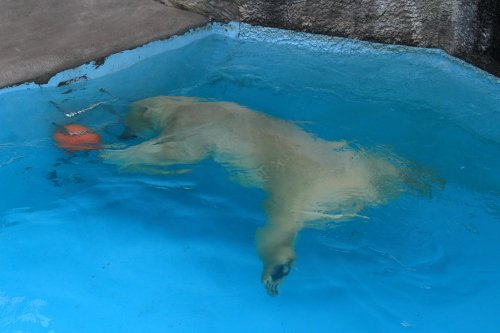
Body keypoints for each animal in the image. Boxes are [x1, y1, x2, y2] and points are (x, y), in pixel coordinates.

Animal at [101, 96, 438, 296]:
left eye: (127, 121)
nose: (121, 134)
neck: (185, 104)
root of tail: (356, 191)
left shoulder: (194, 125)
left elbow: (181, 154)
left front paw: (115, 156)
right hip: (360, 161)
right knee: (387, 164)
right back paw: (422, 177)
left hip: (296, 189)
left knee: (275, 229)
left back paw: (276, 269)